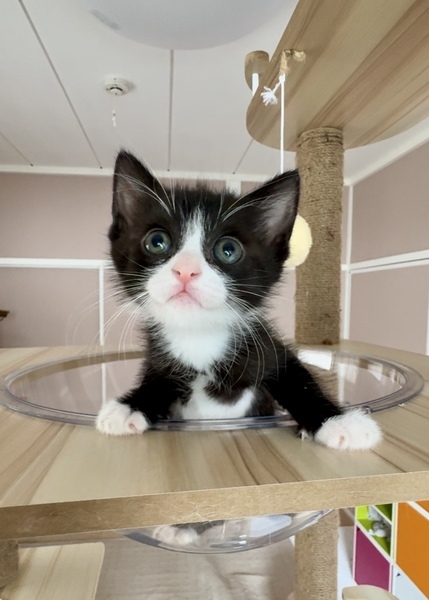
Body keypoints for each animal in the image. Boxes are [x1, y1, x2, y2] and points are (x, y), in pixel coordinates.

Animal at [96, 149, 382, 452]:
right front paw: (130, 406)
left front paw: (337, 420)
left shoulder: (266, 344)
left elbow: (298, 378)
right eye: (157, 241)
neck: (199, 335)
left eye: (228, 249)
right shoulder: (159, 357)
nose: (185, 271)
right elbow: (157, 381)